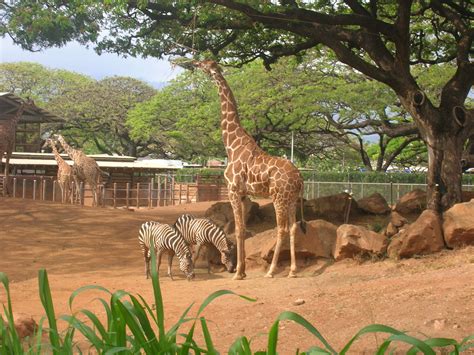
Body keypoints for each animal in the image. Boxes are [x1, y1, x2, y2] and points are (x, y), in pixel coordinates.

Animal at [180, 59, 306, 280]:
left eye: (204, 63)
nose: (193, 62)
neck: (231, 145)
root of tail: (300, 178)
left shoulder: (233, 189)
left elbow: (238, 230)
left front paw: (238, 273)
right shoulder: (245, 193)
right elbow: (243, 229)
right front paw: (243, 270)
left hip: (279, 198)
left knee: (282, 228)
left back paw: (271, 271)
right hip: (291, 199)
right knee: (292, 227)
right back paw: (292, 270)